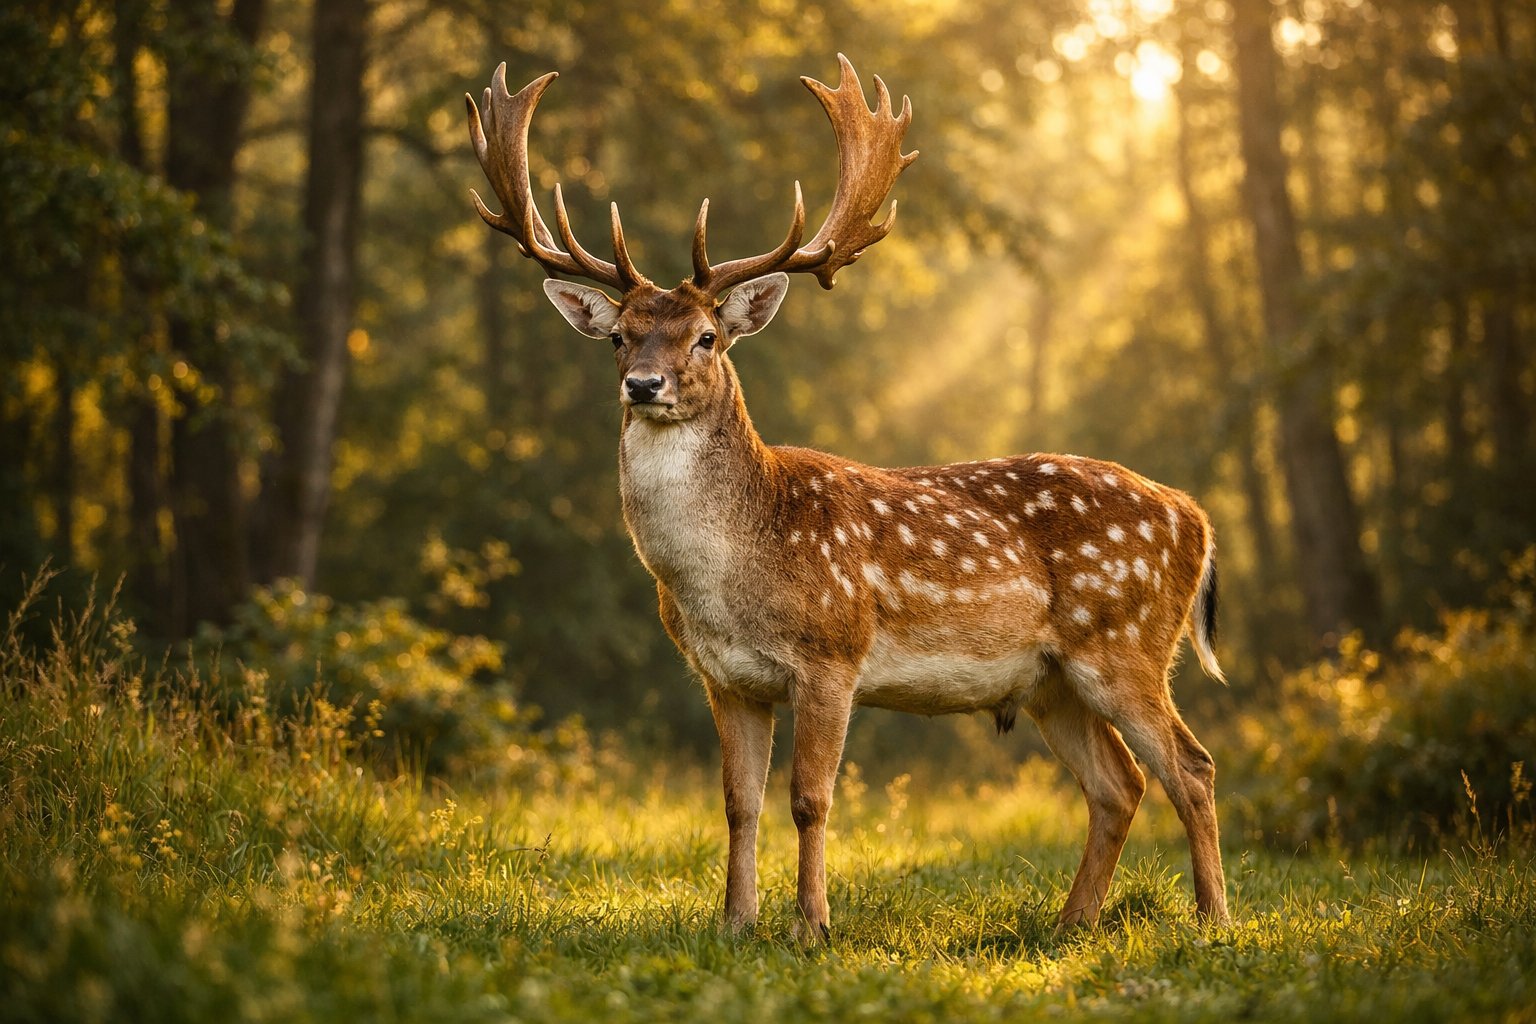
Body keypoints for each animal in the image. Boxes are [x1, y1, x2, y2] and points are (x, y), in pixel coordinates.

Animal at [467, 55, 1230, 938]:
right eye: (620, 336)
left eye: (707, 337)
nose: (643, 384)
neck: (731, 575)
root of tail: (1195, 517)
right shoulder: (724, 677)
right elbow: (738, 804)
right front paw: (735, 925)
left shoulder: (833, 653)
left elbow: (809, 799)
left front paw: (811, 927)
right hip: (1049, 682)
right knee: (1119, 785)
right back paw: (1071, 923)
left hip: (1126, 643)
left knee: (1191, 766)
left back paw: (1213, 920)